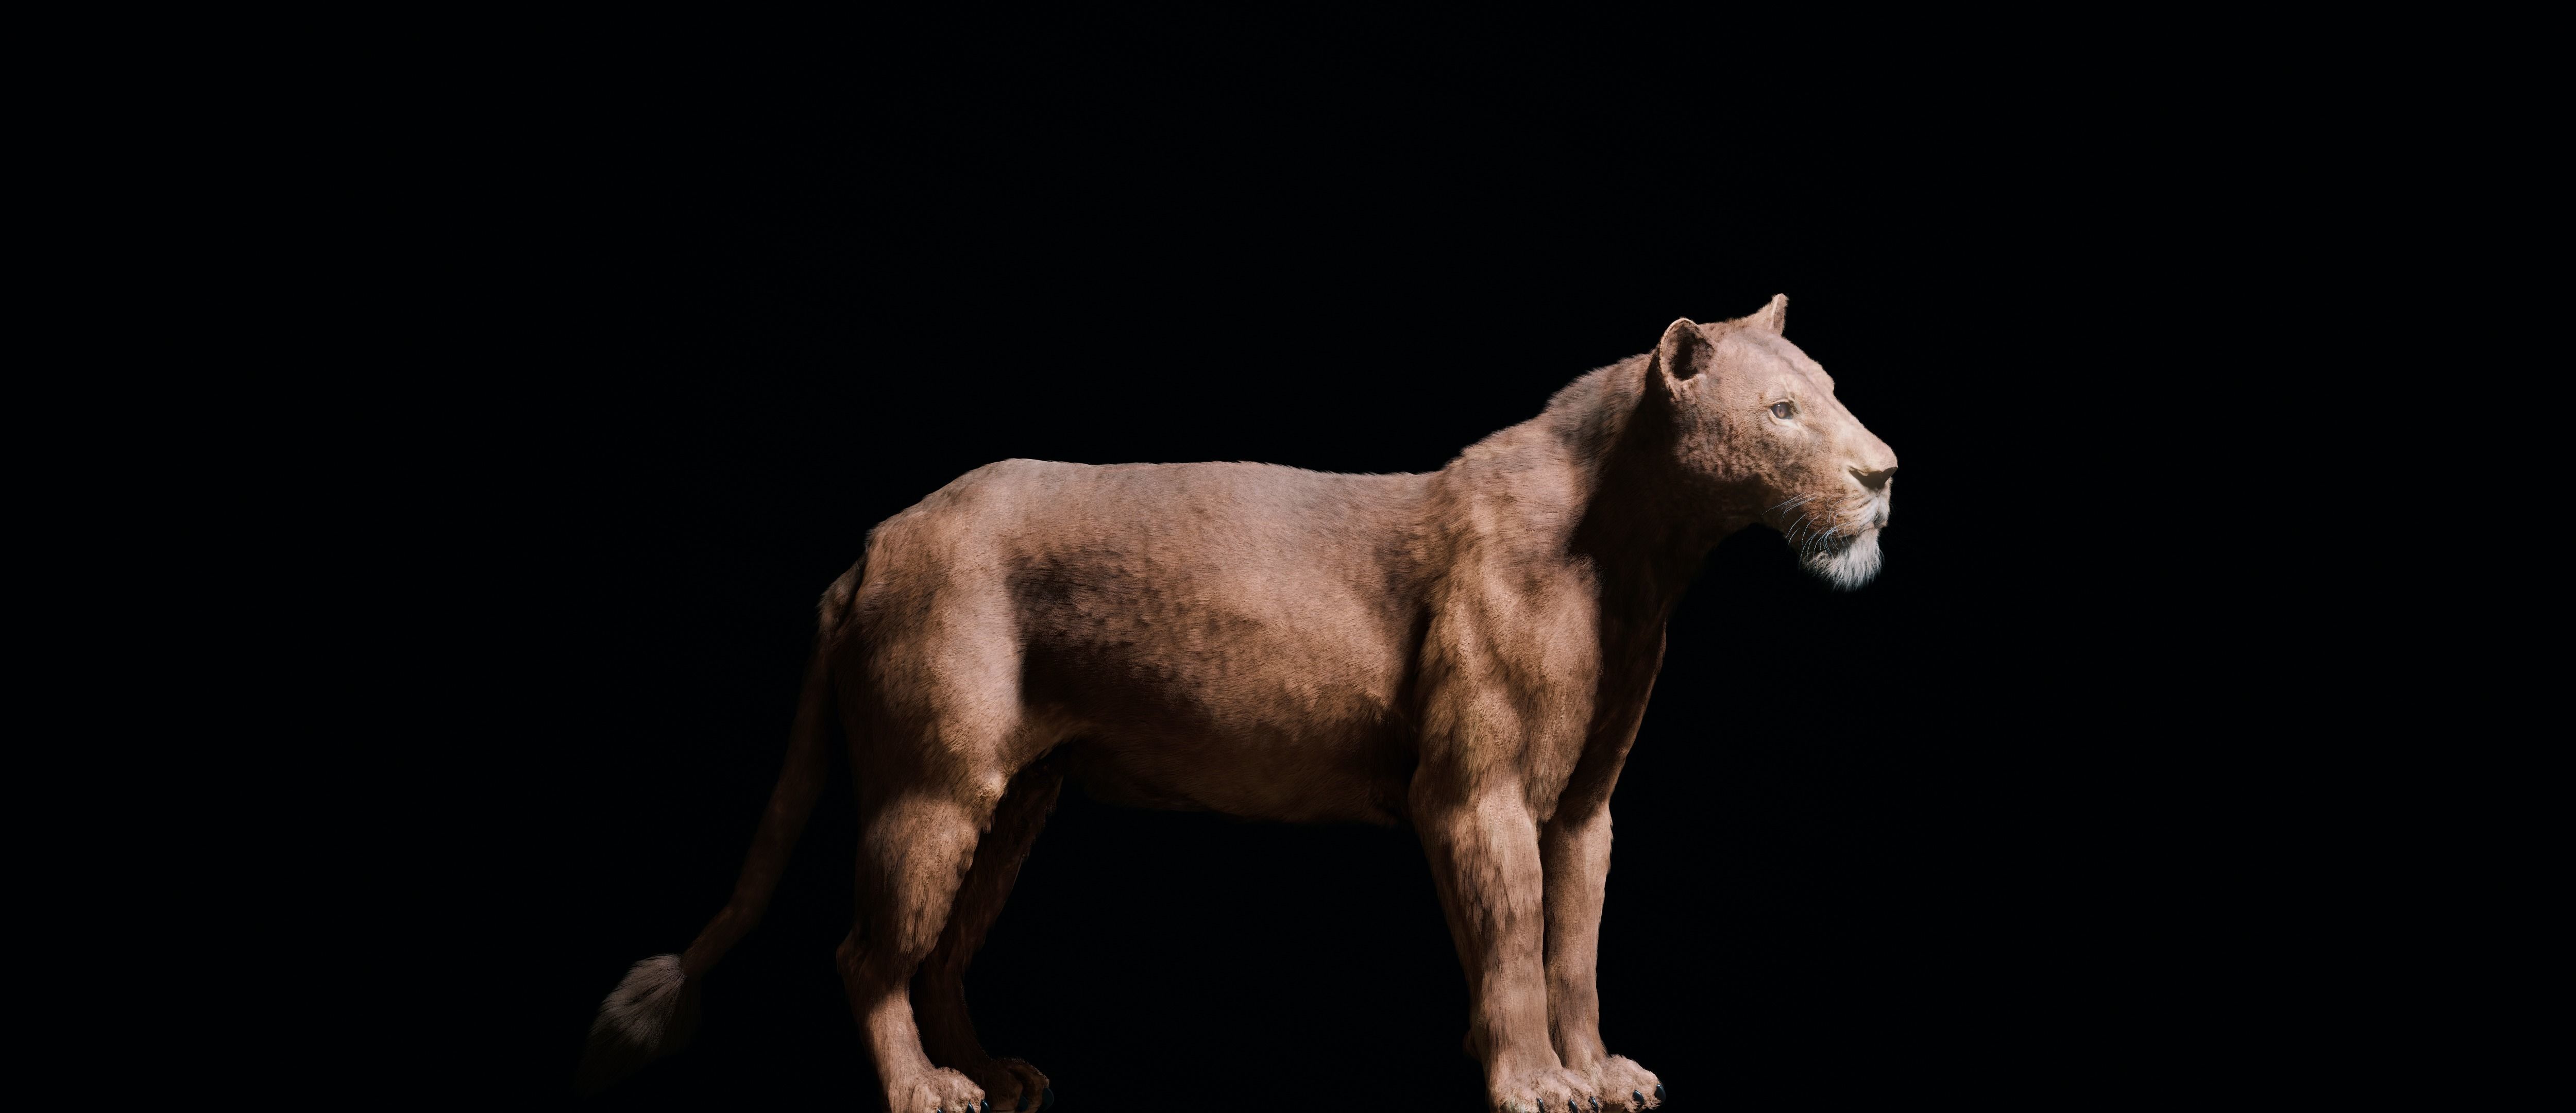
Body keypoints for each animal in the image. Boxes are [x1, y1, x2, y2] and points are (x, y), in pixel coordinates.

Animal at [579, 296, 1899, 1112]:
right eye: (1783, 412)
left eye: (1832, 387)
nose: (1883, 474)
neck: (1639, 554)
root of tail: (871, 545)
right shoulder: (1472, 795)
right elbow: (1515, 948)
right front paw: (1534, 1083)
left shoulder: (1581, 809)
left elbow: (1573, 952)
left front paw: (1601, 1072)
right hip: (931, 783)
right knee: (868, 950)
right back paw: (926, 1093)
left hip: (1015, 800)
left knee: (942, 950)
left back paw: (999, 1075)